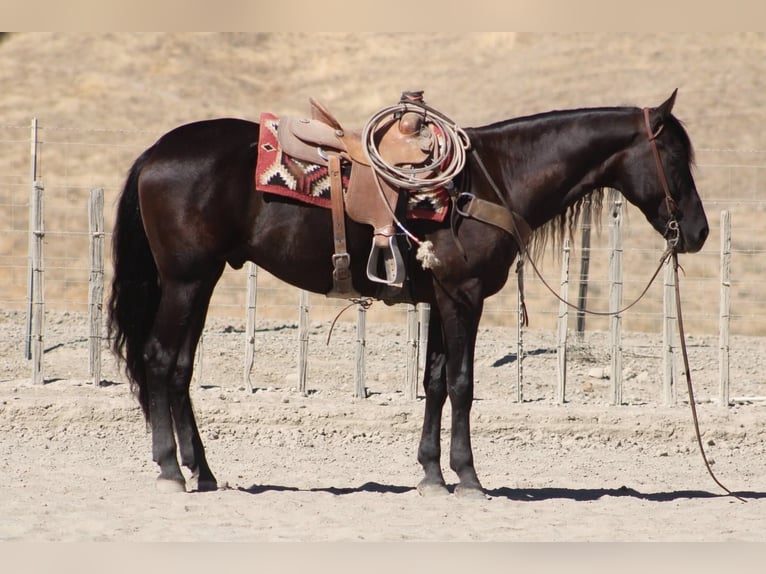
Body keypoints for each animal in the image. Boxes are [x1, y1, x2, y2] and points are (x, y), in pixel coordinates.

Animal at [107, 89, 709, 497]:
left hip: (202, 280)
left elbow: (436, 381)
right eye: (675, 159)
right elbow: (463, 384)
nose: (698, 232)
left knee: (180, 367)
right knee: (159, 359)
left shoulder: (443, 297)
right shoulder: (464, 296)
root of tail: (156, 152)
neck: (495, 178)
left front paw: (432, 475)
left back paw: (203, 472)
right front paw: (468, 477)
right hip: (185, 280)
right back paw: (169, 469)